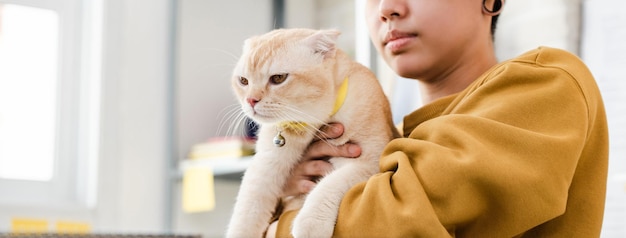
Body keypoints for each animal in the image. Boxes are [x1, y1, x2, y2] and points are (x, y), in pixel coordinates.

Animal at [227, 28, 398, 238]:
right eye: (243, 81)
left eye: (278, 78)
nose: (251, 100)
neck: (310, 124)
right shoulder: (265, 165)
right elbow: (246, 211)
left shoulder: (369, 164)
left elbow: (329, 183)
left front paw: (310, 222)